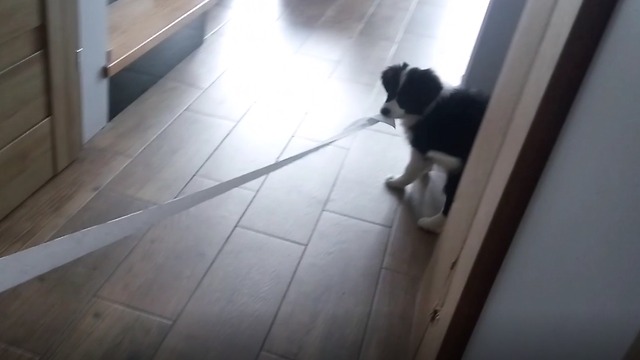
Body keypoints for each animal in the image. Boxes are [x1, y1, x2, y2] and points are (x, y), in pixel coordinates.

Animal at [380, 62, 490, 233]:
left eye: (406, 96)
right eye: (391, 90)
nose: (383, 111)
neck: (430, 105)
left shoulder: (421, 145)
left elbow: (410, 170)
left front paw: (396, 182)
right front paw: (424, 170)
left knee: (451, 202)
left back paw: (430, 224)